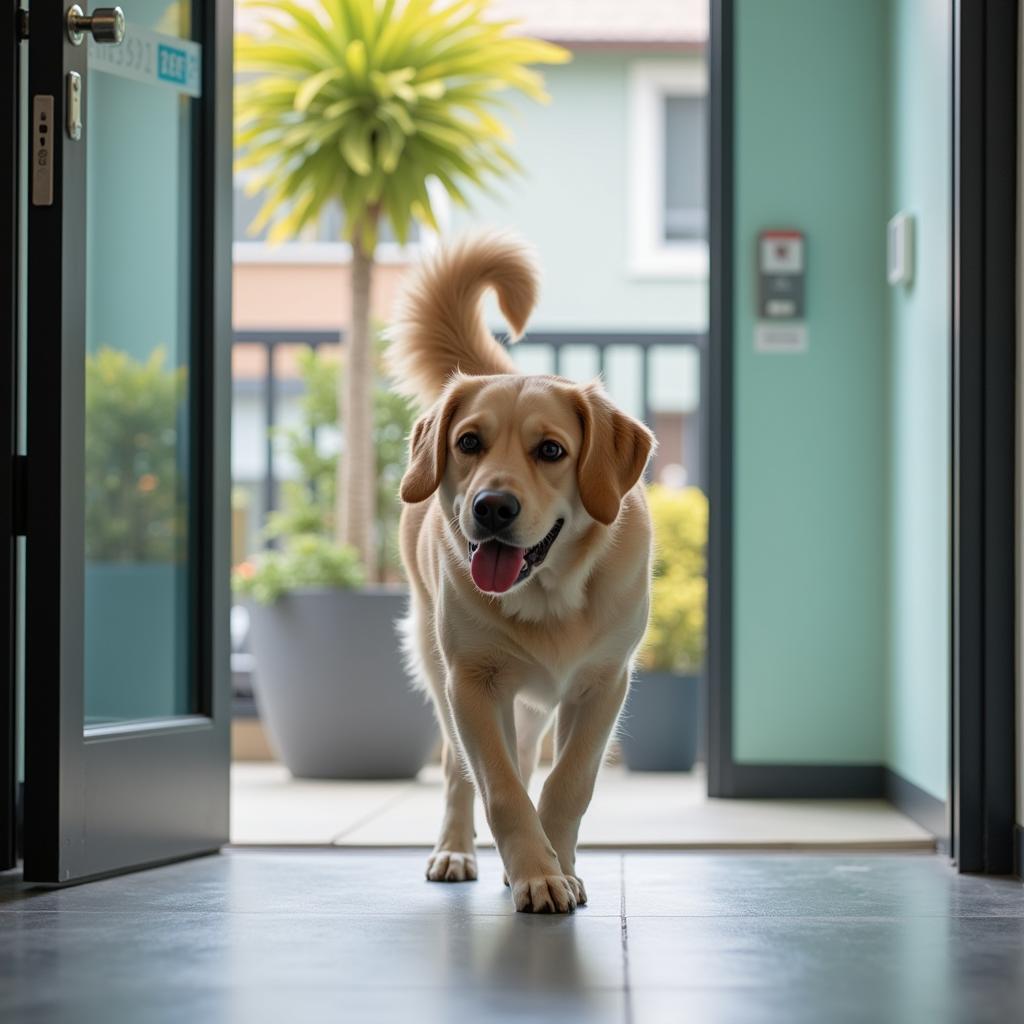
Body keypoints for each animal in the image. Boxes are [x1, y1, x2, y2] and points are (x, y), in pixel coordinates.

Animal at [387, 232, 651, 913]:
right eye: (469, 442)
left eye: (551, 450)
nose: (492, 507)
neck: (550, 593)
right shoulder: (473, 685)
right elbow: (501, 788)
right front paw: (536, 872)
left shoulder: (605, 684)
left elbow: (568, 782)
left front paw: (558, 866)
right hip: (439, 669)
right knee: (459, 771)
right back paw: (455, 851)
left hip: (530, 704)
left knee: (529, 758)